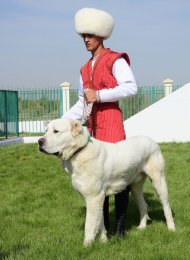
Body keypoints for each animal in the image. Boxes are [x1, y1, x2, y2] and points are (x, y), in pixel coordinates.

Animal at [37, 119, 176, 245]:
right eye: (46, 130)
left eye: (56, 131)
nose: (39, 141)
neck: (80, 151)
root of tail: (151, 140)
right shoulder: (97, 198)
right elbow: (100, 222)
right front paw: (104, 240)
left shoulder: (93, 197)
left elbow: (89, 224)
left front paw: (86, 245)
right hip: (135, 187)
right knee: (143, 205)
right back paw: (142, 227)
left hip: (158, 181)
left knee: (166, 206)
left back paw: (171, 228)